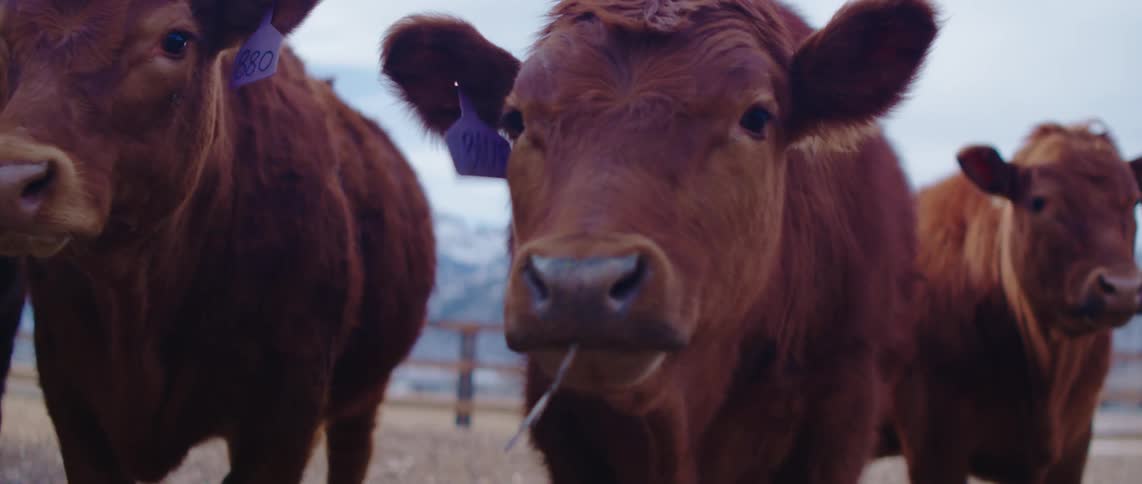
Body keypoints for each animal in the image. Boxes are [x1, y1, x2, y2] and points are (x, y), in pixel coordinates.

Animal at [0, 1, 435, 482]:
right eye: (2, 34)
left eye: (176, 40)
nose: (11, 180)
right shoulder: (71, 403)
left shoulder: (286, 414)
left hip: (364, 397)